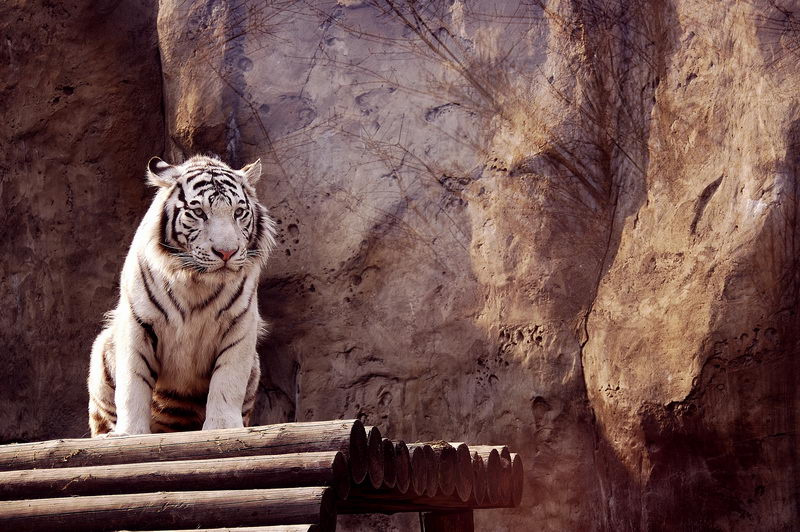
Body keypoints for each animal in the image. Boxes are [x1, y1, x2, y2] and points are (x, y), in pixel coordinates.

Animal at [87, 154, 277, 436]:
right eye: (199, 213)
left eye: (238, 212)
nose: (227, 252)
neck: (196, 281)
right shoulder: (137, 323)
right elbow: (133, 383)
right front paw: (130, 433)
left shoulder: (240, 323)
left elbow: (228, 380)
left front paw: (223, 427)